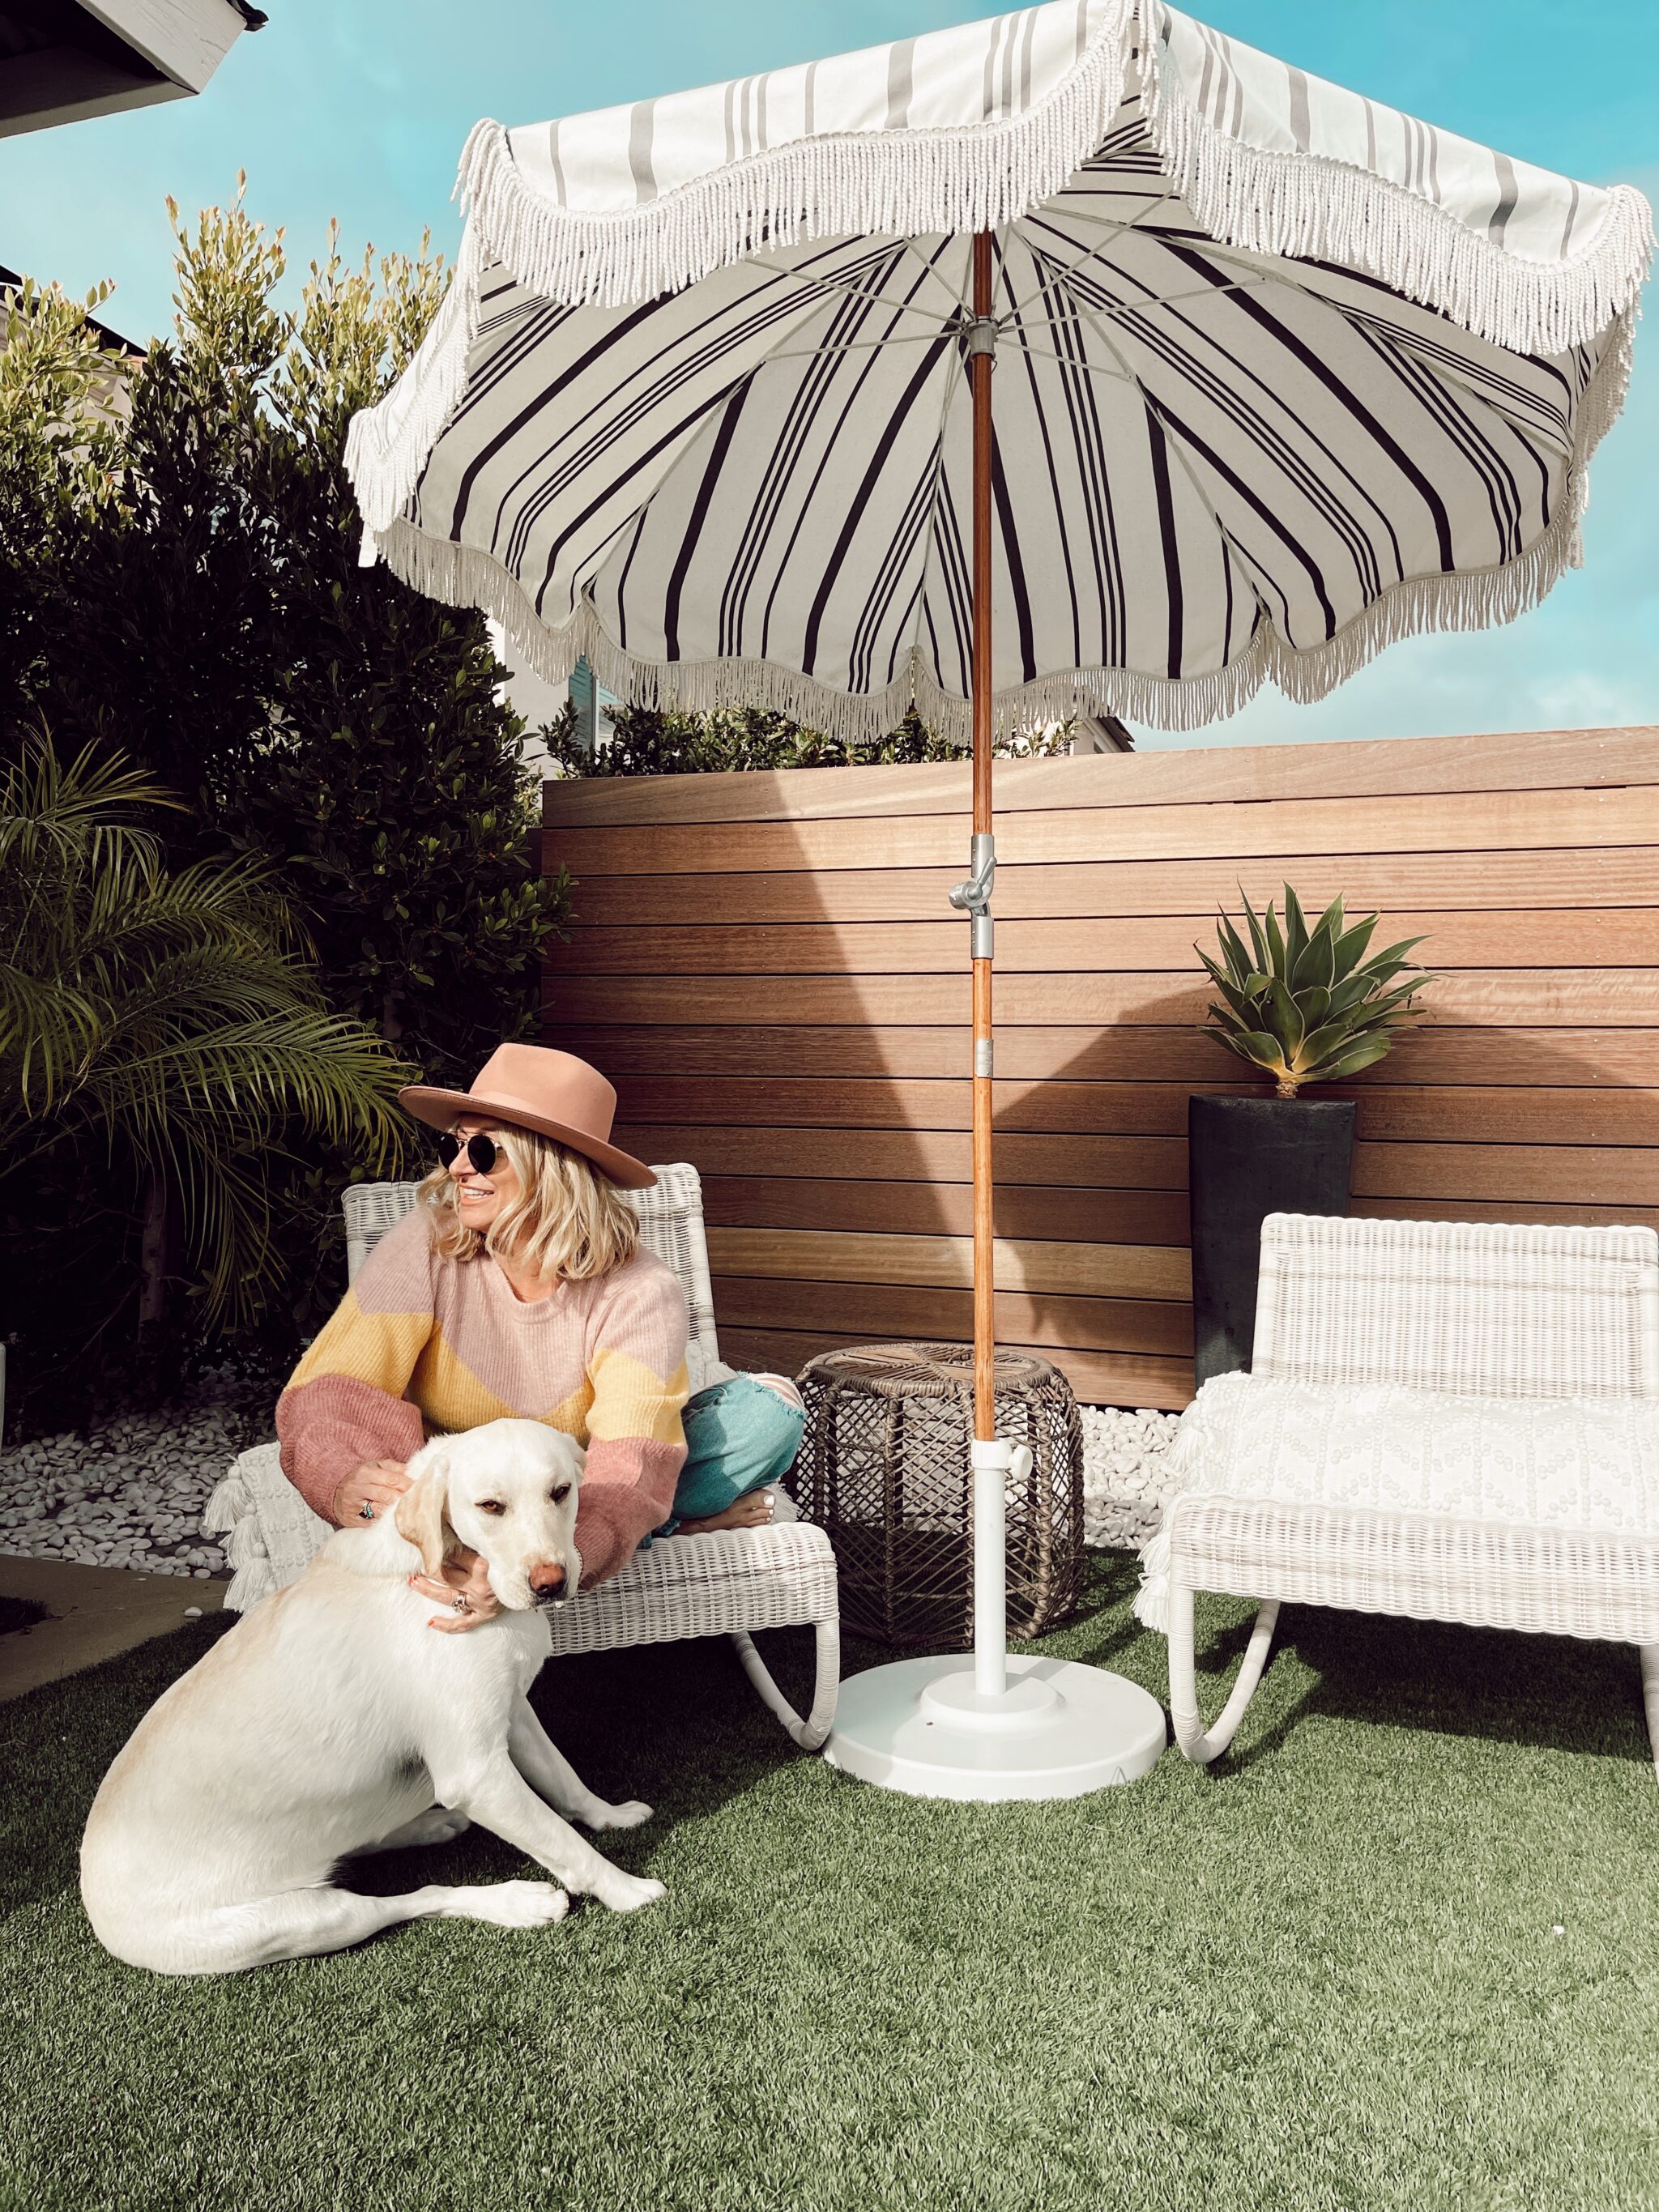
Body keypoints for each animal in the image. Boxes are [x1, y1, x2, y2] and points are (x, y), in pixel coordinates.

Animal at [79, 1424, 663, 1981]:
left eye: (561, 1492)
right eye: (490, 1506)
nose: (550, 1582)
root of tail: (91, 1896)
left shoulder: (513, 1713)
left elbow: (565, 1780)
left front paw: (609, 1815)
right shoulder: (476, 1772)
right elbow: (563, 1841)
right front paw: (626, 1889)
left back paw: (427, 1826)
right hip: (308, 1921)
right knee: (417, 1899)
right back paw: (515, 1899)